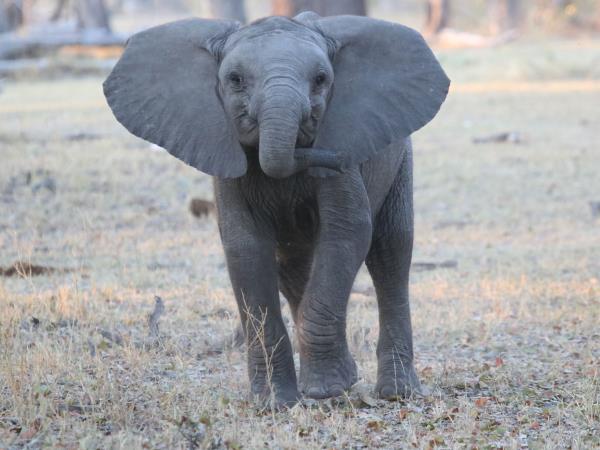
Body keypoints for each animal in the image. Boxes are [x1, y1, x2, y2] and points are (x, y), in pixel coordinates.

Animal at [104, 11, 450, 408]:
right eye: (235, 80)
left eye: (321, 80)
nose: (334, 157)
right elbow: (245, 247)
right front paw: (275, 402)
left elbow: (348, 231)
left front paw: (325, 391)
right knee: (292, 266)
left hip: (400, 156)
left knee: (390, 251)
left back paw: (397, 392)